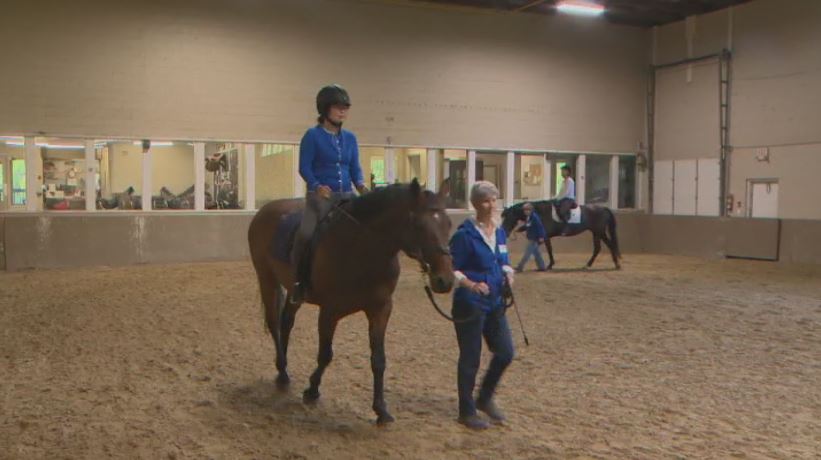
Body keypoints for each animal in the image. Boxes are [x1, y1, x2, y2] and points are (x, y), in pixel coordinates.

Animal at [247, 179, 455, 425]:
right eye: (419, 225)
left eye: (449, 224)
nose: (445, 280)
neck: (361, 249)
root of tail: (265, 210)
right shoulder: (329, 312)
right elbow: (325, 355)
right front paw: (312, 390)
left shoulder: (381, 310)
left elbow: (378, 360)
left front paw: (381, 410)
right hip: (266, 278)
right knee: (274, 323)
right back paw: (282, 373)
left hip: (293, 290)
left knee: (286, 321)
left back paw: (284, 371)